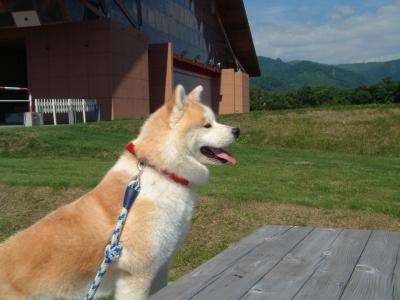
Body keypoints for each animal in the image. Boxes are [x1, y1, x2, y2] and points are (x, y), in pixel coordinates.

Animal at [0, 85, 239, 300]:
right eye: (207, 125)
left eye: (215, 120)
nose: (236, 130)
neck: (162, 171)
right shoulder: (137, 274)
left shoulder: (160, 267)